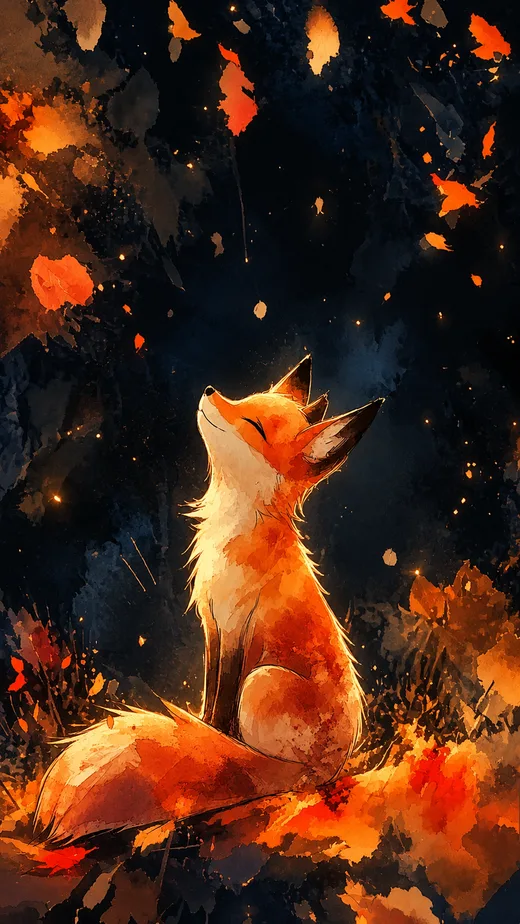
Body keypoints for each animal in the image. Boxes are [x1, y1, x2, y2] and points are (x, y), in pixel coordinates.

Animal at [34, 356, 383, 844]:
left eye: (253, 424)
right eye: (245, 398)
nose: (210, 390)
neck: (231, 532)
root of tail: (330, 767)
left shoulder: (236, 629)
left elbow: (218, 709)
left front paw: (211, 740)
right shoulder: (213, 626)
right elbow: (208, 698)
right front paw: (204, 732)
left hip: (262, 681)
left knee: (279, 770)